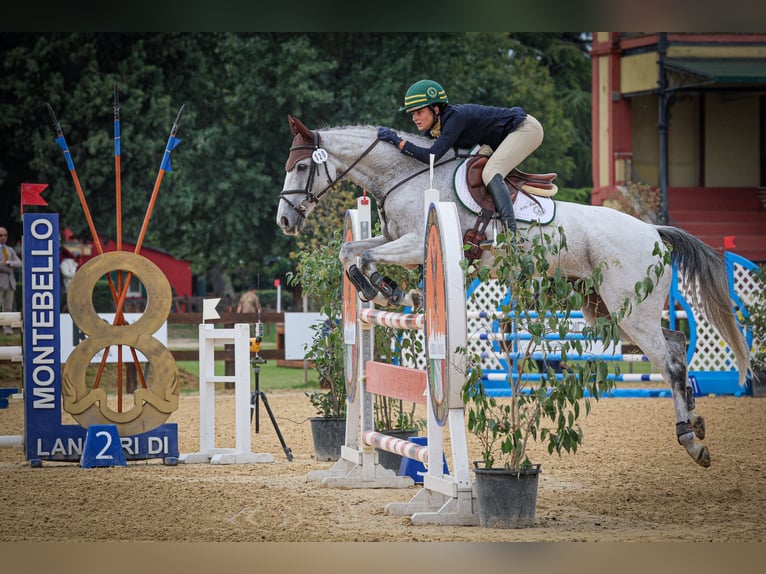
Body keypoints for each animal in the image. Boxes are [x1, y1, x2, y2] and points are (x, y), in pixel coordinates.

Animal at [277, 114, 750, 468]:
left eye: (300, 167)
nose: (285, 220)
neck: (405, 176)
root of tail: (653, 231)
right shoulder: (396, 240)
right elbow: (351, 251)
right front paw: (387, 289)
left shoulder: (414, 243)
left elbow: (366, 258)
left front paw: (389, 290)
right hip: (616, 314)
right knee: (677, 343)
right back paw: (696, 419)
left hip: (631, 311)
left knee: (668, 359)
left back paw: (691, 440)